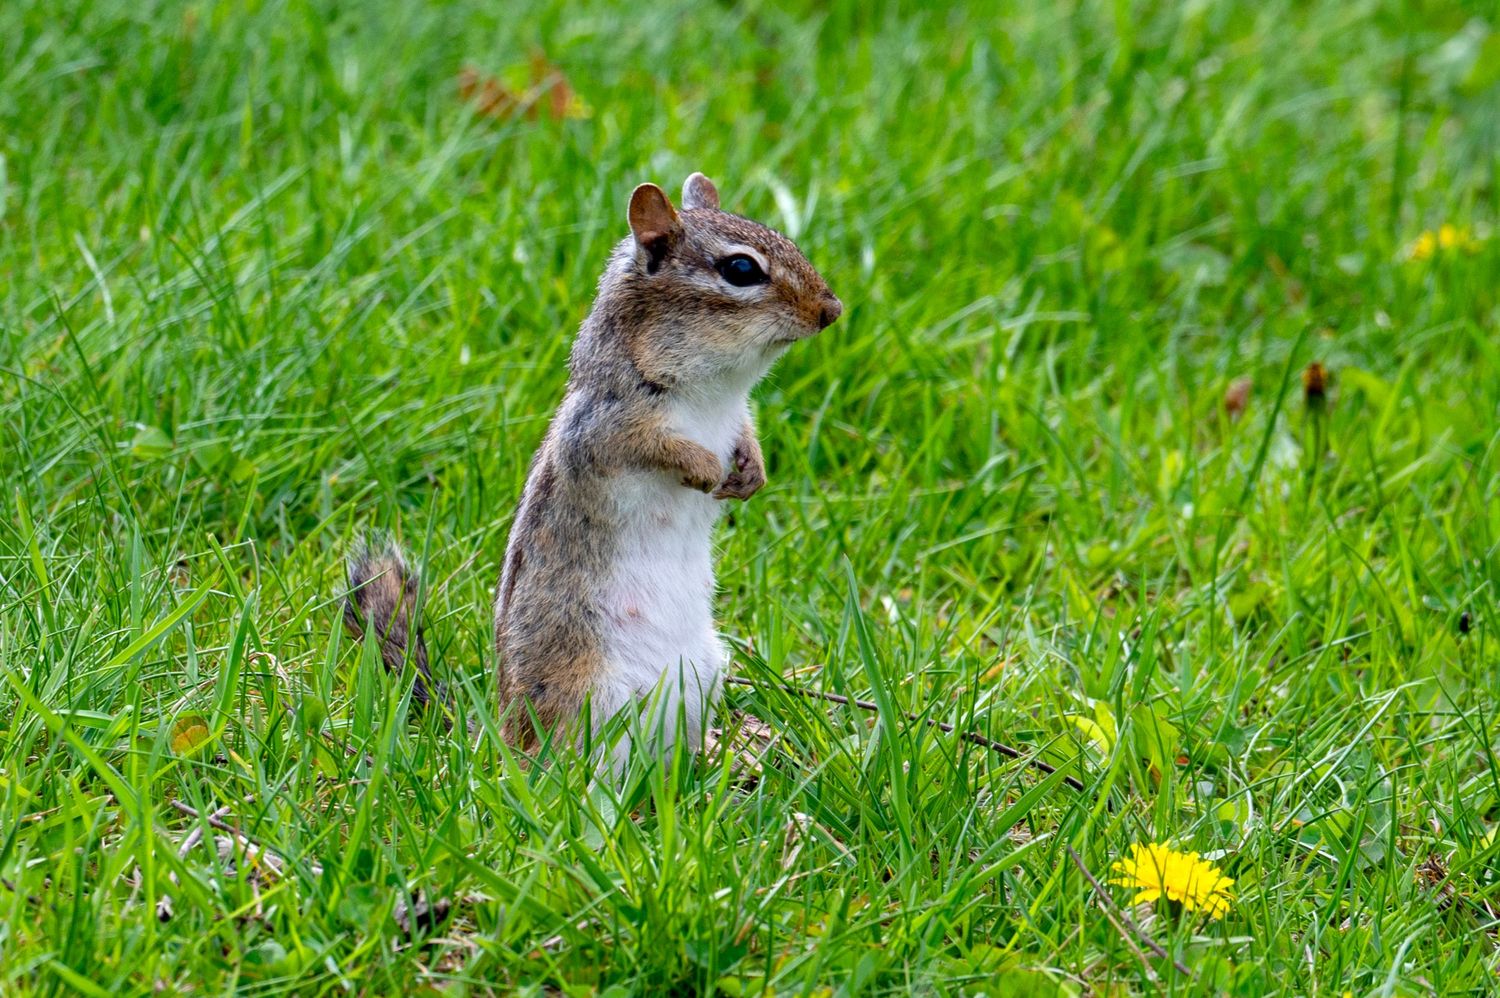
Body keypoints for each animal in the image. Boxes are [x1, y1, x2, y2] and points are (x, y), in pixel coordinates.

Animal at [344, 172, 841, 759]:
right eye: (741, 269)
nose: (831, 310)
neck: (714, 394)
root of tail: (500, 735)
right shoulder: (603, 427)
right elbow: (649, 446)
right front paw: (702, 467)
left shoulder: (736, 415)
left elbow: (746, 437)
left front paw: (752, 473)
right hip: (586, 692)